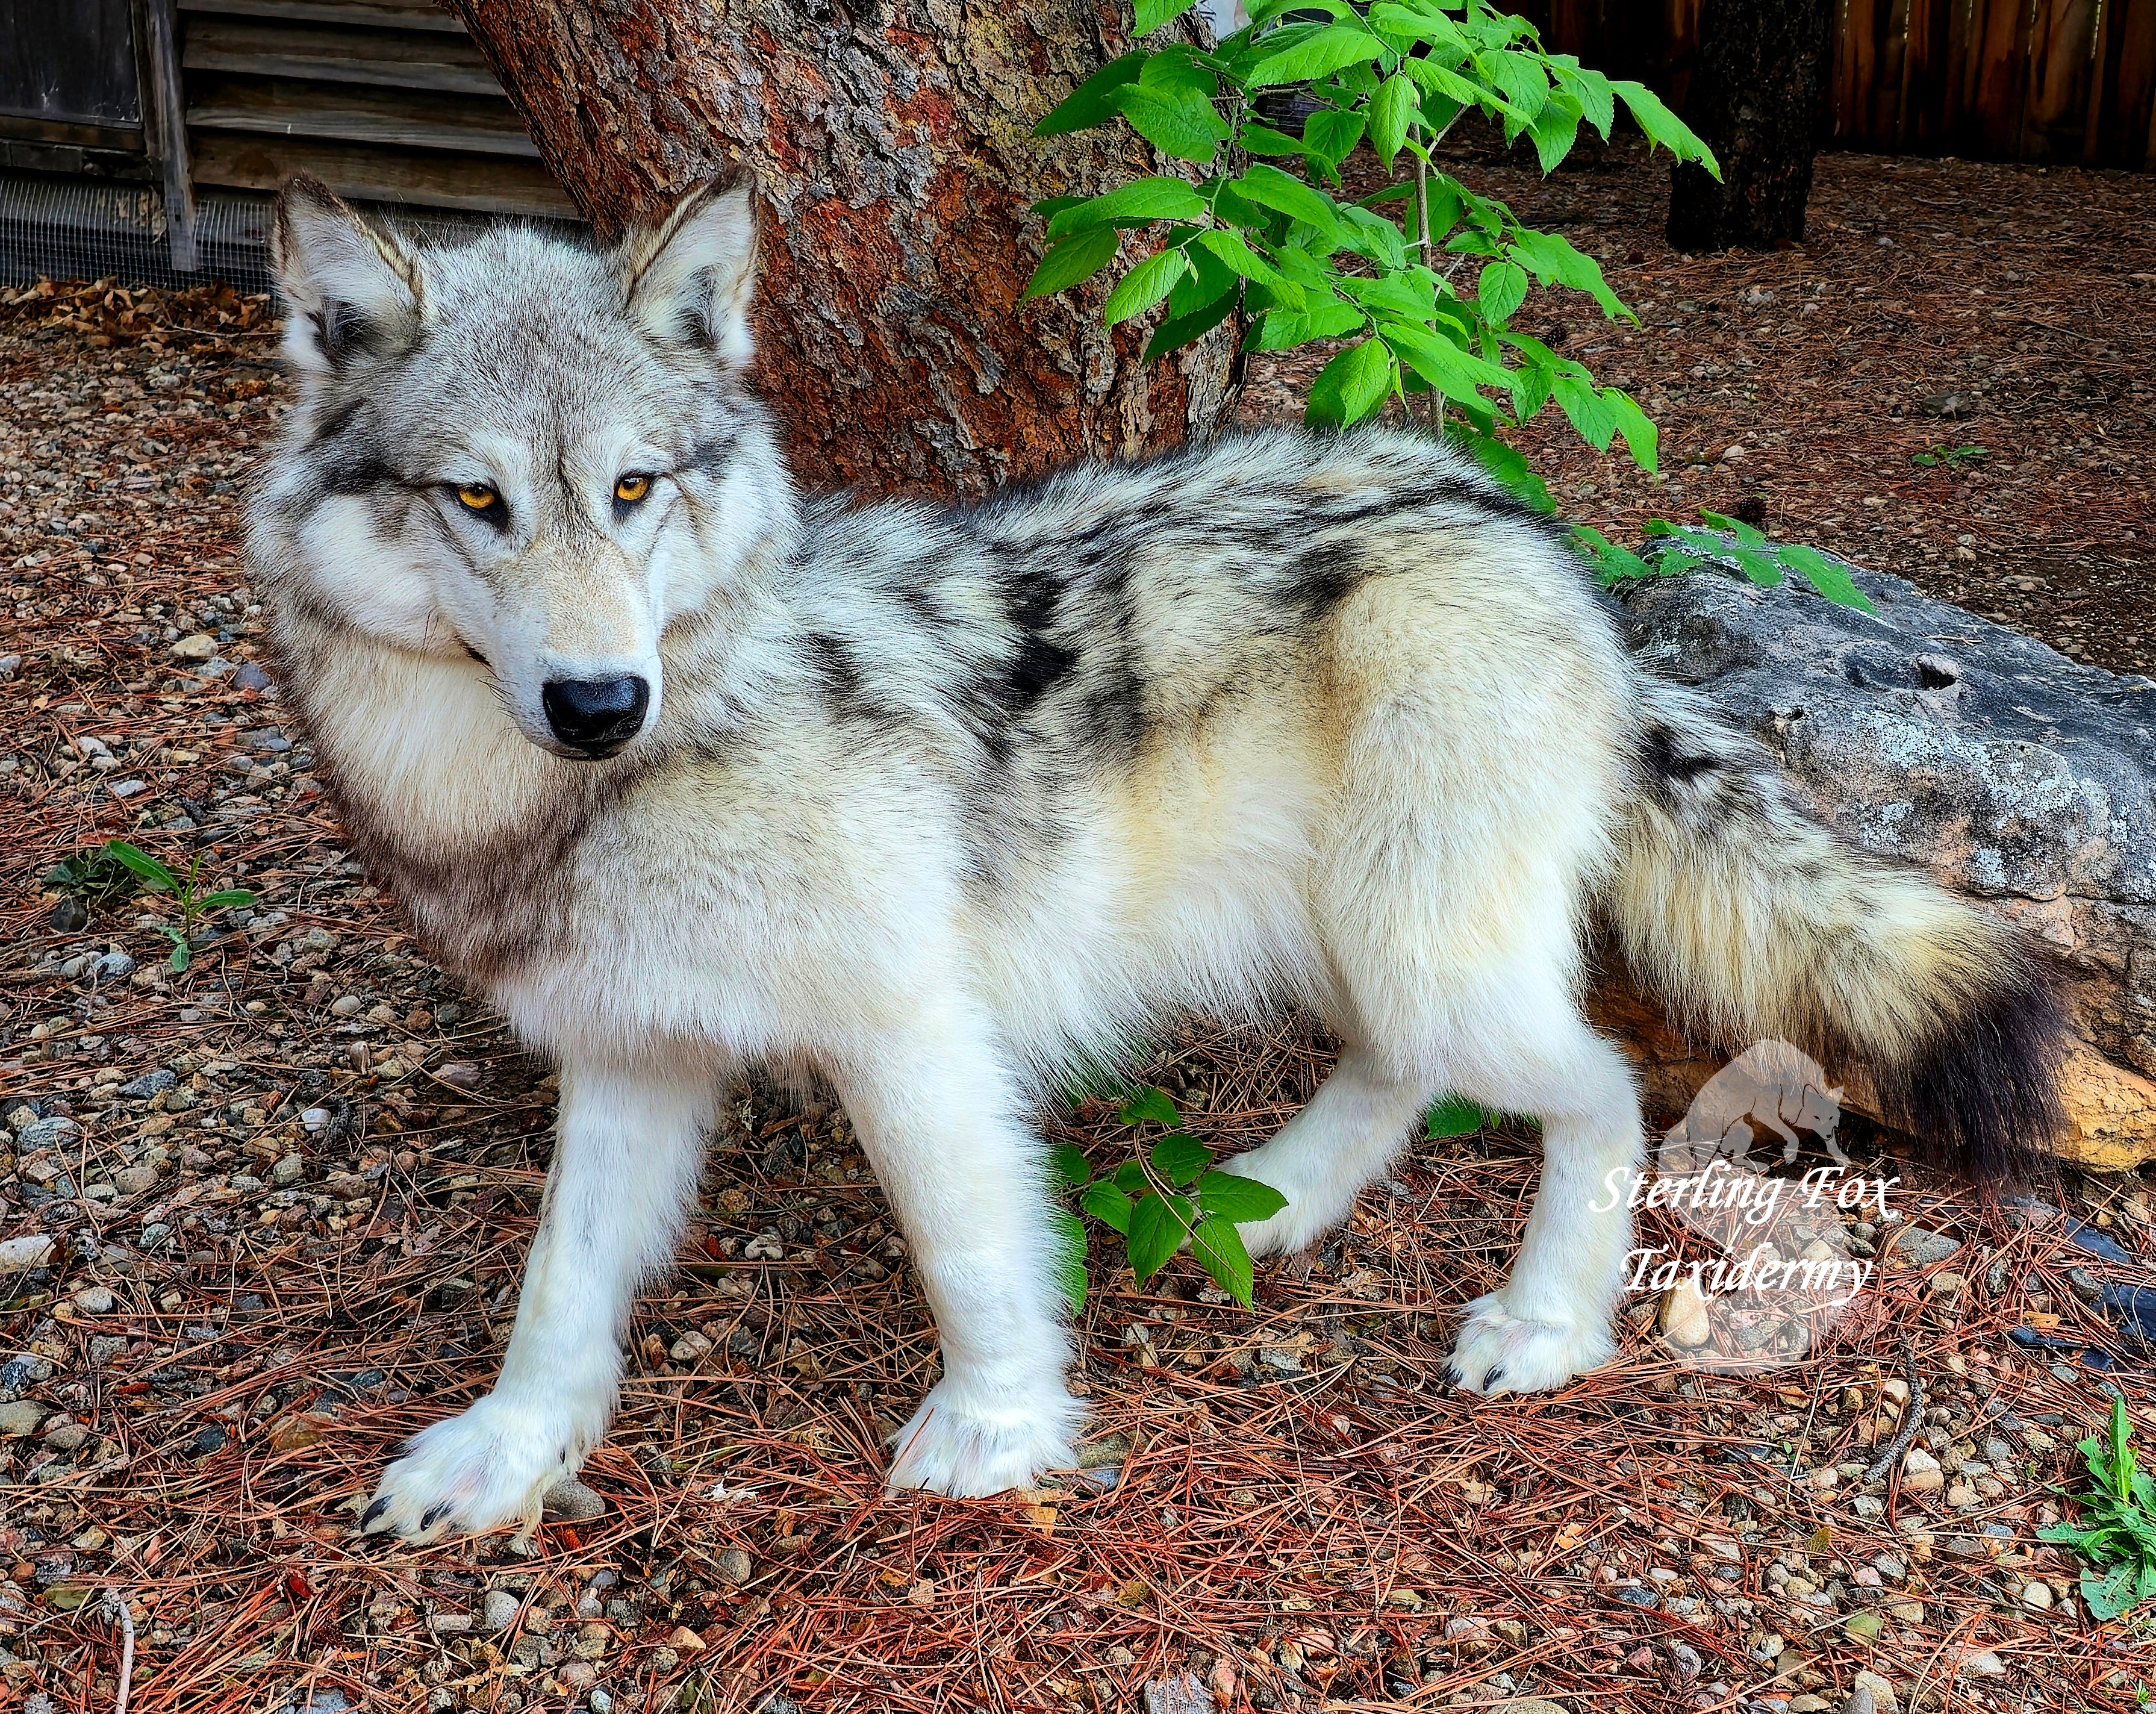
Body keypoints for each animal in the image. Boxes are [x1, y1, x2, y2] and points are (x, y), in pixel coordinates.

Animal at [248, 172, 2068, 1541]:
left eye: (630, 488)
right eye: (474, 499)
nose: (595, 698)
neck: (639, 762)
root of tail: (1526, 526)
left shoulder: (905, 1032)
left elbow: (969, 1252)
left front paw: (997, 1433)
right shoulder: (627, 1053)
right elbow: (557, 1286)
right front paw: (503, 1452)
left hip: (1428, 948)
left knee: (1603, 1086)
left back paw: (1544, 1325)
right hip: (1356, 933)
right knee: (1401, 1074)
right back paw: (1278, 1199)